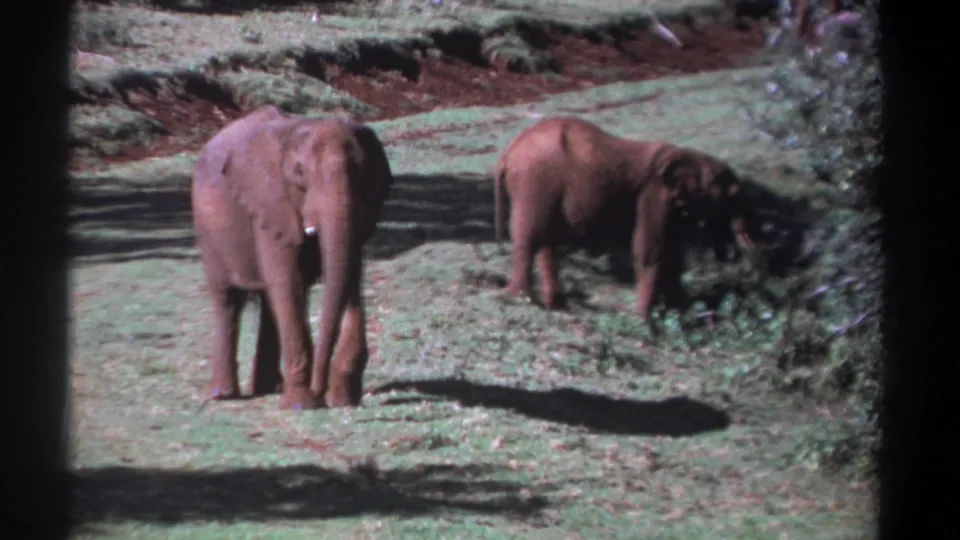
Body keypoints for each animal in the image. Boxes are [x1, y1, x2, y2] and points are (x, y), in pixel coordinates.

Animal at [191, 105, 393, 410]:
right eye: (299, 173)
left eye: (361, 171)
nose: (320, 392)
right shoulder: (270, 205)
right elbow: (289, 283)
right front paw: (301, 405)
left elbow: (350, 278)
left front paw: (342, 400)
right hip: (209, 233)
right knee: (228, 300)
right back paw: (222, 395)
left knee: (268, 302)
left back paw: (269, 388)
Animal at [492, 116, 756, 320]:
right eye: (730, 193)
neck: (690, 157)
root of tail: (507, 154)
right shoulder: (653, 195)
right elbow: (651, 250)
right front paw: (644, 320)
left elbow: (673, 254)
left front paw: (680, 313)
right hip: (535, 182)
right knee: (529, 236)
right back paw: (519, 298)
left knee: (545, 241)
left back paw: (555, 305)